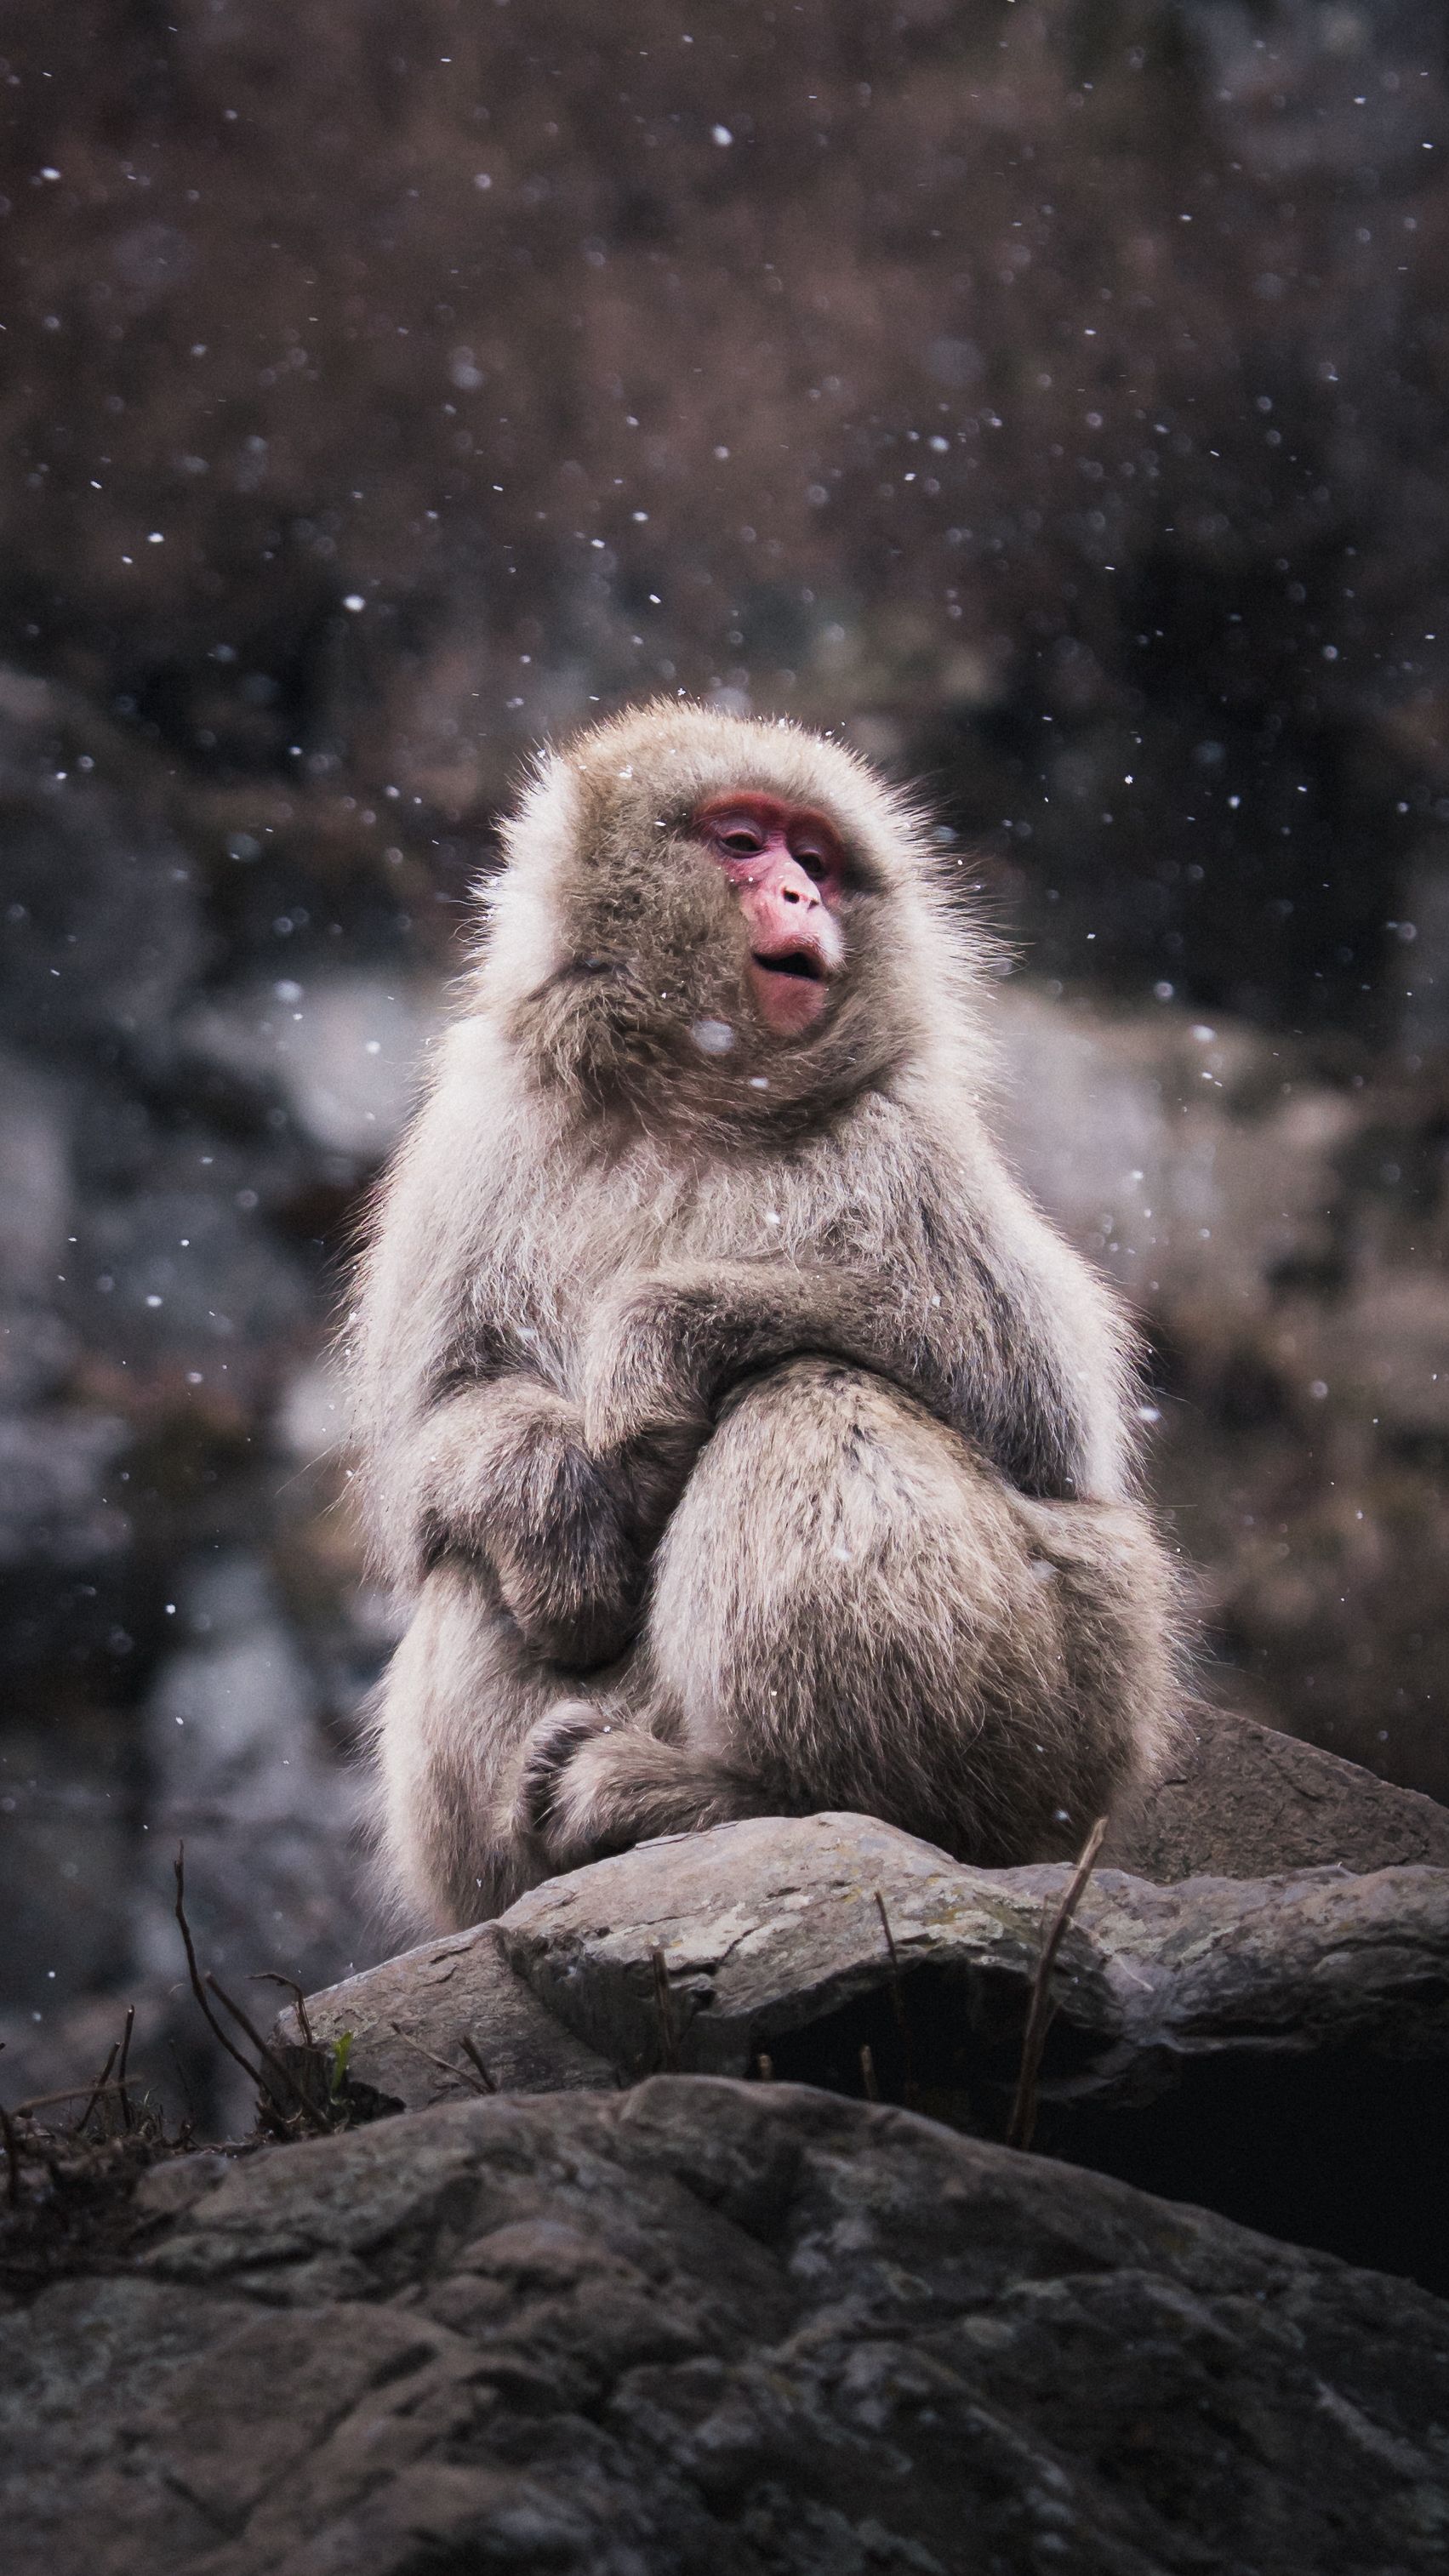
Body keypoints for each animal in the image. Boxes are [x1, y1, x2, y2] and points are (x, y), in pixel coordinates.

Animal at [349, 699, 1180, 1932]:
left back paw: (745, 1800)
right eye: (741, 842)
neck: (692, 1097)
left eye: (818, 860)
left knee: (810, 1394)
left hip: (1079, 1694)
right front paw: (554, 1500)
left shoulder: (902, 1134)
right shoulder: (480, 1121)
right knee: (471, 1558)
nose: (797, 894)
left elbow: (1027, 1392)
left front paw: (654, 1334)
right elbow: (435, 1430)